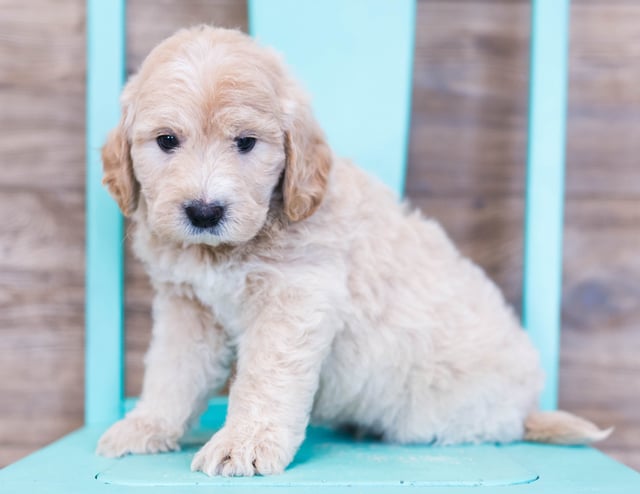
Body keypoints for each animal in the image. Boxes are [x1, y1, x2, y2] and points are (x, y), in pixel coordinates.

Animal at [96, 26, 608, 474]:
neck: (230, 247)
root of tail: (528, 406)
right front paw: (145, 426)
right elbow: (172, 372)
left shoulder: (295, 298)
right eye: (167, 140)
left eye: (246, 142)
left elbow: (265, 376)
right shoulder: (188, 306)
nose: (204, 212)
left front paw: (243, 443)